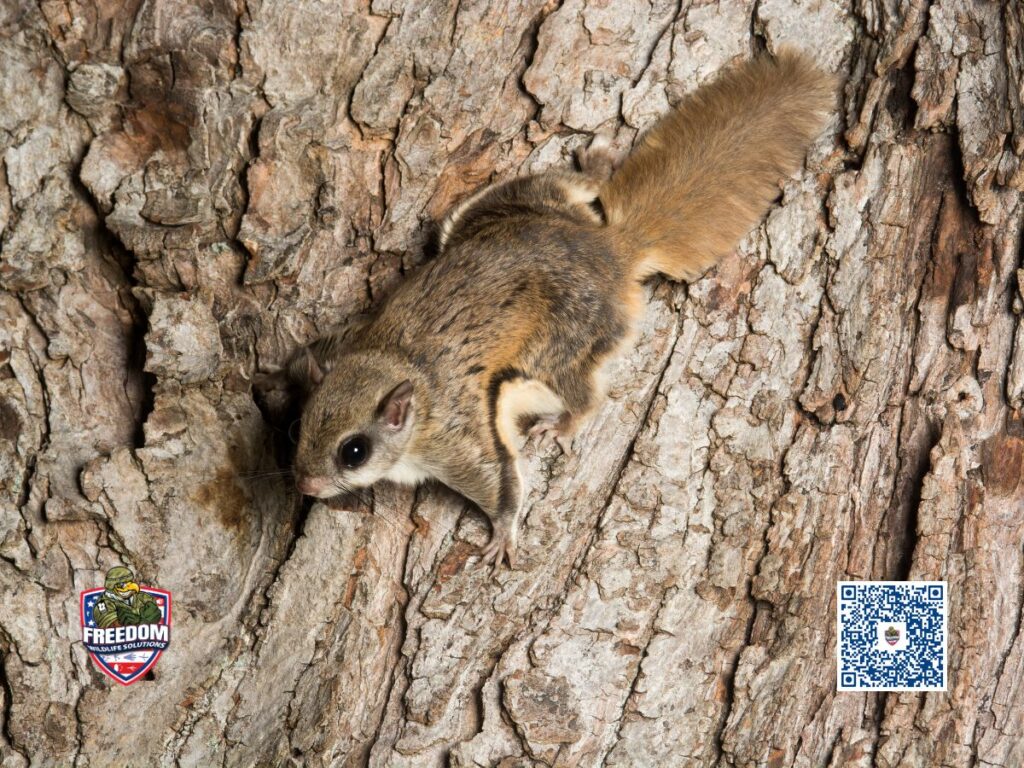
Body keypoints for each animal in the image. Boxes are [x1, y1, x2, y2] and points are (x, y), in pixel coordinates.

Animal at [290, 49, 834, 567]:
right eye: (300, 424)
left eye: (353, 452)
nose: (305, 486)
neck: (394, 366)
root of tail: (612, 251)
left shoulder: (456, 436)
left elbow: (499, 482)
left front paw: (501, 536)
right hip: (503, 205)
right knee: (565, 186)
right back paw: (594, 166)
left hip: (561, 345)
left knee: (586, 394)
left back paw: (565, 422)